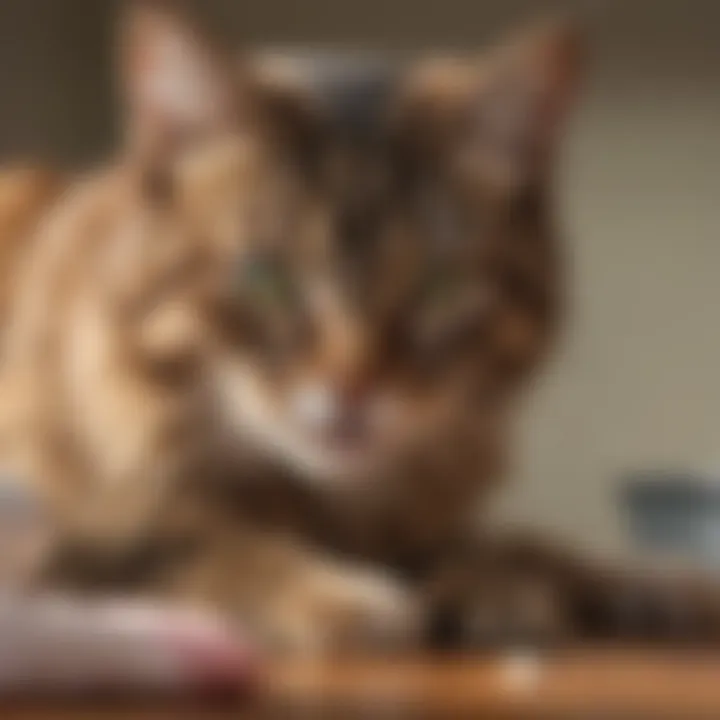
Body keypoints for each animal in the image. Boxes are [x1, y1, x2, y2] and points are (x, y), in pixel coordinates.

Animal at [0, 0, 716, 656]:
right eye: (267, 277)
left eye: (438, 288)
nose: (354, 391)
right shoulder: (72, 539)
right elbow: (200, 548)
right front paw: (341, 595)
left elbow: (521, 543)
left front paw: (627, 581)